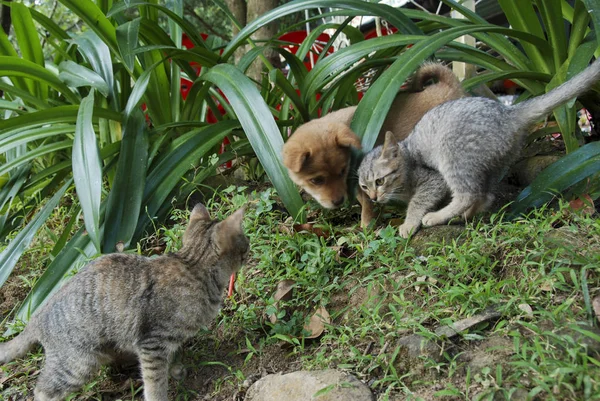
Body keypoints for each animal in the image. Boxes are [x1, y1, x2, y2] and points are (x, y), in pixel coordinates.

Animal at [0, 203, 248, 400]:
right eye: (244, 241)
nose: (250, 246)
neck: (193, 268)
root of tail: (37, 315)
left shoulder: (165, 341)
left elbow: (173, 357)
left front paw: (177, 370)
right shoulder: (152, 343)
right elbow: (155, 383)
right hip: (77, 364)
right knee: (42, 390)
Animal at [284, 62, 466, 225]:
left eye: (342, 171)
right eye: (316, 180)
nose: (339, 201)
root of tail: (447, 84)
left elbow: (367, 204)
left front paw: (367, 226)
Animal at [358, 59, 600, 238]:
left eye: (379, 181)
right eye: (363, 186)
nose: (373, 197)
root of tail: (508, 113)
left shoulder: (432, 179)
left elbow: (418, 202)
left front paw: (409, 224)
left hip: (452, 154)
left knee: (468, 194)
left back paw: (438, 217)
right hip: (493, 163)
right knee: (485, 196)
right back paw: (463, 216)